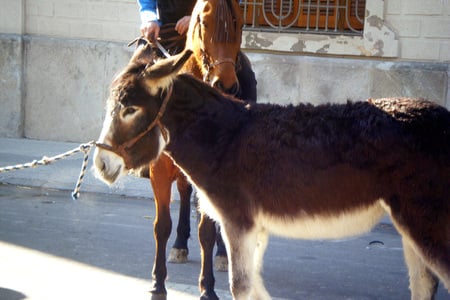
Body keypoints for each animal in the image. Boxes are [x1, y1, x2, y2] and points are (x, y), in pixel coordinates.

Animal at [95, 50, 450, 298]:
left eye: (130, 109)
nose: (100, 164)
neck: (222, 137)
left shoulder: (237, 222)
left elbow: (239, 286)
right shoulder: (253, 228)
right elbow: (252, 287)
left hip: (426, 222)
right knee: (423, 284)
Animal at [127, 0, 256, 298]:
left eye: (239, 22)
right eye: (204, 23)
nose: (225, 83)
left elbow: (206, 230)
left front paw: (207, 287)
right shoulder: (160, 172)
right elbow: (161, 226)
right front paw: (157, 284)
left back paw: (222, 254)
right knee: (185, 195)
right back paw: (180, 245)